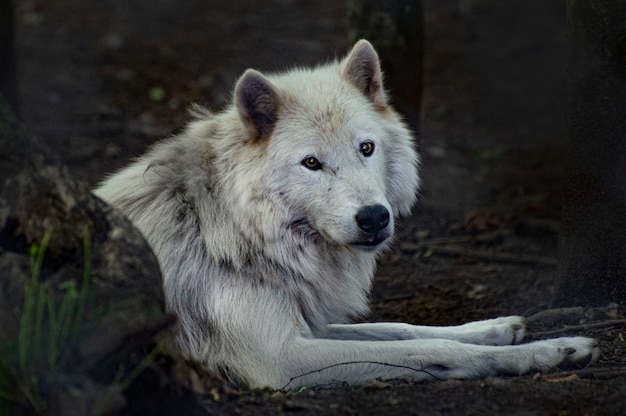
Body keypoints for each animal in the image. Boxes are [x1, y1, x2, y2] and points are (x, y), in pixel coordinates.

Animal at [95, 39, 596, 390]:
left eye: (366, 148)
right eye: (311, 163)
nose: (374, 218)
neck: (227, 228)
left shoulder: (308, 323)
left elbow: (400, 328)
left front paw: (500, 329)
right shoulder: (279, 360)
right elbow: (429, 349)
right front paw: (545, 352)